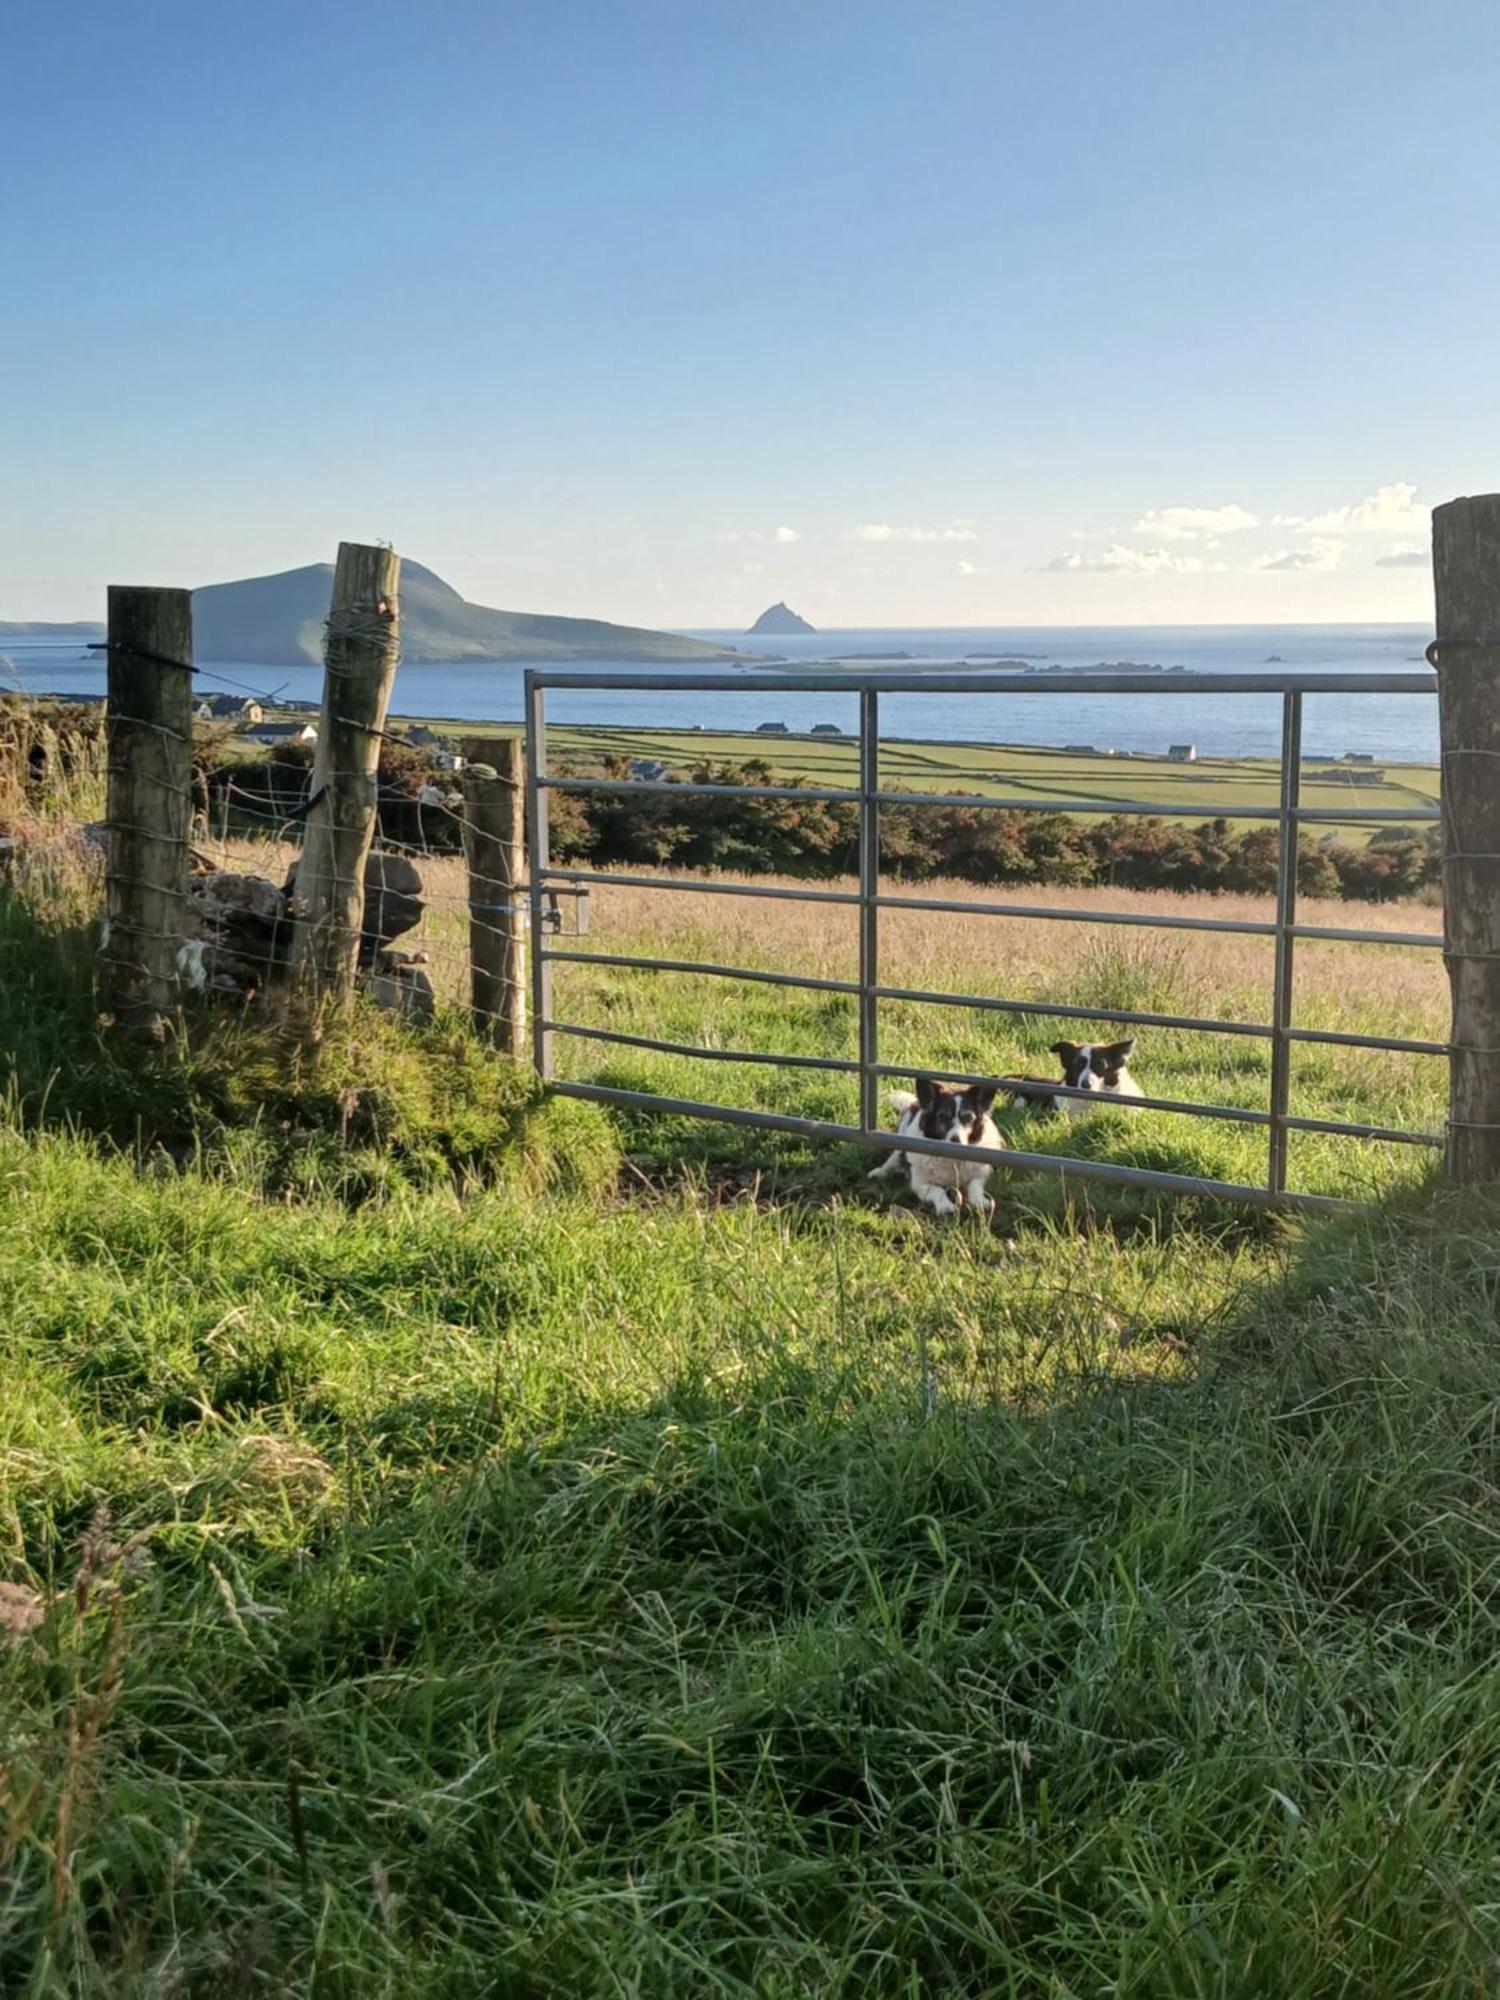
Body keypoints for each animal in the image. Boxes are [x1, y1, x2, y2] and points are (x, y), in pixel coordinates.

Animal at [868, 1080, 1012, 1216]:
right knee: (893, 1158)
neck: (951, 1159)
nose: (956, 1140)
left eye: (968, 1118)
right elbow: (938, 1190)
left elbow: (974, 1186)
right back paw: (880, 1172)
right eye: (943, 1116)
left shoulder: (980, 1175)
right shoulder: (920, 1183)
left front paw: (980, 1202)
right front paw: (946, 1206)